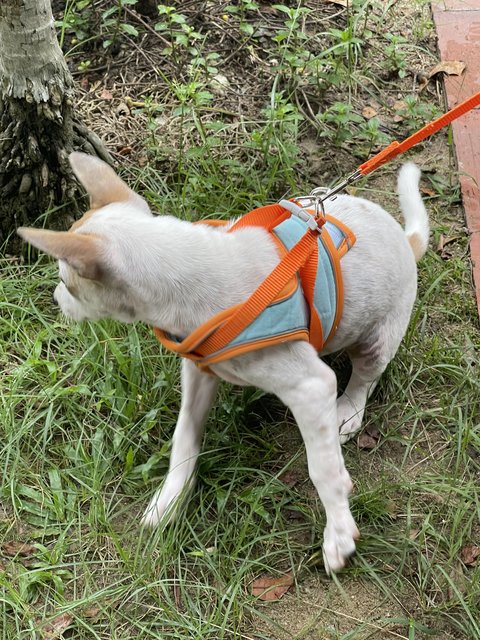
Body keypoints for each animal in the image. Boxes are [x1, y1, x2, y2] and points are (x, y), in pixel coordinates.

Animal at [17, 152, 428, 572]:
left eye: (68, 284)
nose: (55, 300)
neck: (188, 274)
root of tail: (405, 239)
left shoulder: (312, 386)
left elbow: (323, 469)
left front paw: (339, 531)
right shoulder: (199, 371)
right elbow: (185, 435)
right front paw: (170, 501)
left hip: (378, 339)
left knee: (365, 378)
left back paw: (349, 410)